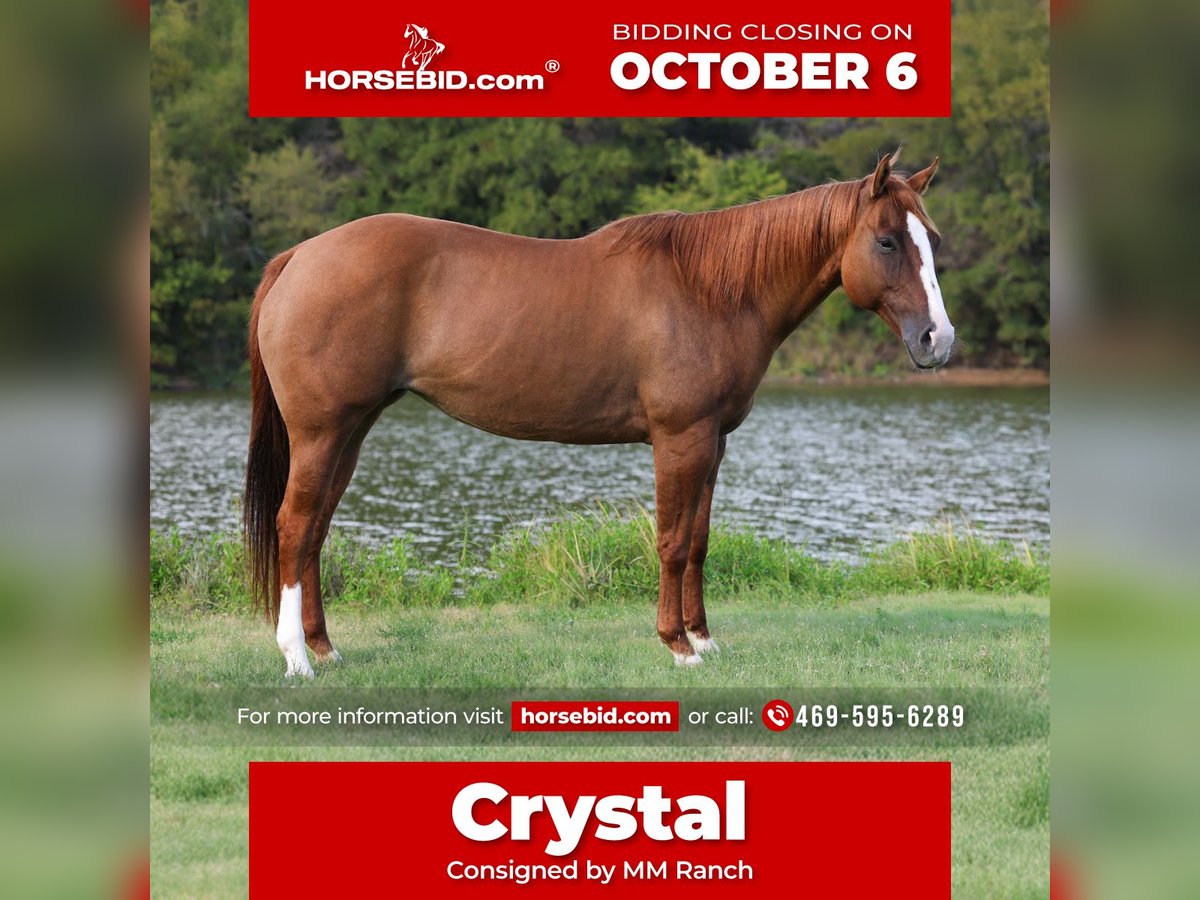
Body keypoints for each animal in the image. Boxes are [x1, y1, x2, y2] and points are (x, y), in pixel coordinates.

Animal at [244, 150, 951, 678]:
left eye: (931, 241)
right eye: (887, 241)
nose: (937, 341)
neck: (711, 291)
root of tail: (298, 256)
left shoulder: (713, 442)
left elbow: (698, 540)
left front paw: (706, 638)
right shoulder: (679, 440)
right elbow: (670, 542)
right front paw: (678, 646)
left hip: (351, 431)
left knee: (315, 530)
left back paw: (326, 649)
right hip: (322, 432)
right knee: (294, 525)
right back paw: (296, 658)